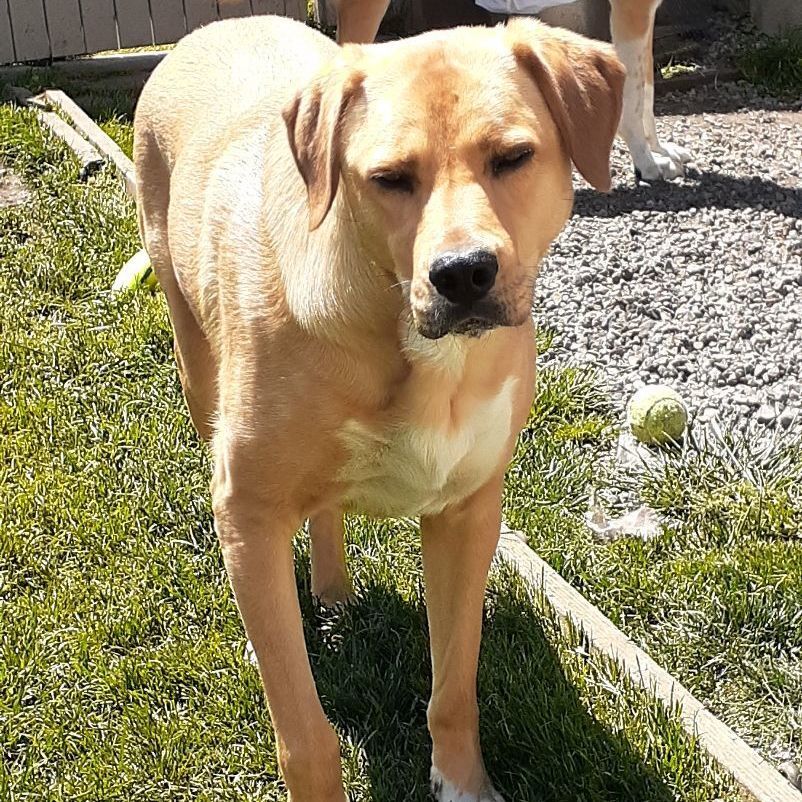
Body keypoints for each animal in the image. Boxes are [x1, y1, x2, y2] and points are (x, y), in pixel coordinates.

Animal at [134, 14, 620, 800]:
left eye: (513, 156)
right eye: (389, 179)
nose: (463, 274)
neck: (414, 350)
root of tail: (217, 25)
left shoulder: (468, 515)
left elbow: (454, 688)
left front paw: (463, 781)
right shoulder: (248, 506)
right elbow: (304, 733)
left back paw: (332, 590)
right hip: (194, 359)